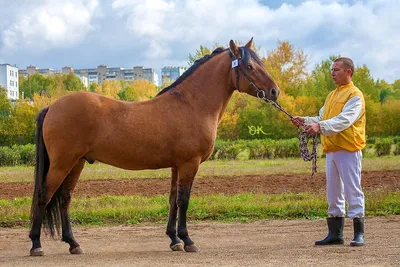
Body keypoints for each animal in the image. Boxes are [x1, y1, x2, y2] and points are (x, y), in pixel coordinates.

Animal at [29, 38, 280, 258]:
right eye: (250, 66)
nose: (275, 92)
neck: (192, 104)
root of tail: (52, 107)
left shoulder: (177, 166)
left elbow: (173, 199)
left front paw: (174, 240)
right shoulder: (190, 164)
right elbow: (183, 200)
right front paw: (187, 240)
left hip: (77, 163)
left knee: (64, 198)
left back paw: (73, 244)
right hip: (63, 164)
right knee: (44, 195)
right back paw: (36, 244)